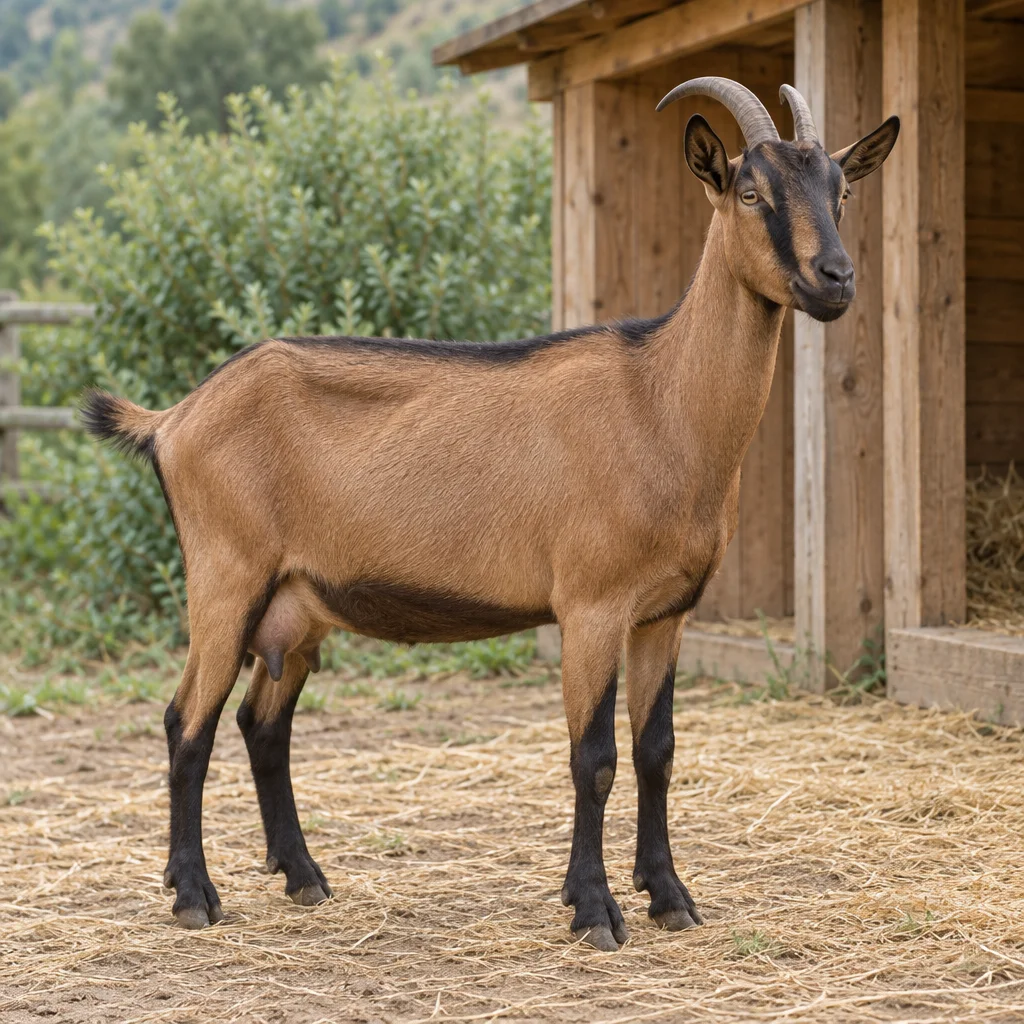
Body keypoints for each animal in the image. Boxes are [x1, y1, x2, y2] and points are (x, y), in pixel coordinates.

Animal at [82, 78, 898, 951]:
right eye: (750, 192)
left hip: (298, 606)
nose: (835, 277)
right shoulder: (591, 605)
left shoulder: (665, 613)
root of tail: (172, 420)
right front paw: (595, 910)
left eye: (842, 191)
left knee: (262, 727)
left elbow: (658, 751)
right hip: (225, 578)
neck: (661, 402)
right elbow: (594, 758)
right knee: (186, 722)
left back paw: (304, 878)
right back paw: (195, 895)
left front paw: (670, 896)